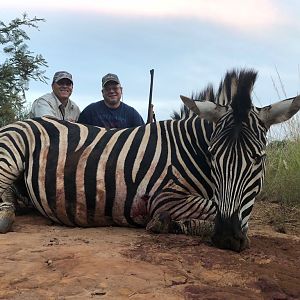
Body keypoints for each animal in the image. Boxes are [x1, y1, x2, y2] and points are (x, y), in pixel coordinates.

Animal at [0, 68, 298, 251]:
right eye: (213, 157)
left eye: (258, 159)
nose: (226, 237)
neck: (190, 149)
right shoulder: (164, 196)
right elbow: (213, 207)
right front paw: (168, 222)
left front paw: (178, 224)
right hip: (12, 148)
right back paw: (5, 218)